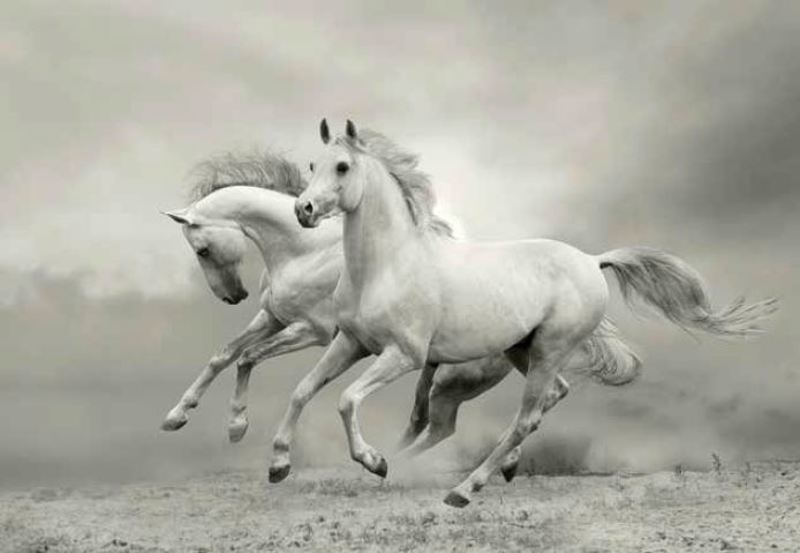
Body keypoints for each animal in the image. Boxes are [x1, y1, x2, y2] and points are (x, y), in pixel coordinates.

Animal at [160, 150, 640, 482]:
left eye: (202, 249)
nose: (233, 296)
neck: (305, 250)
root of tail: (586, 266)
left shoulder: (312, 331)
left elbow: (248, 358)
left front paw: (238, 426)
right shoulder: (274, 319)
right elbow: (225, 356)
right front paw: (179, 416)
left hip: (456, 381)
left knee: (460, 422)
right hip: (507, 362)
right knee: (539, 400)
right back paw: (502, 464)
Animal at [294, 119, 777, 507]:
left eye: (342, 167)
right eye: (312, 166)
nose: (304, 209)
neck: (388, 264)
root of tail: (593, 261)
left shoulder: (404, 355)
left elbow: (346, 398)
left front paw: (373, 461)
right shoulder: (352, 343)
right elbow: (303, 391)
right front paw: (283, 464)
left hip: (547, 349)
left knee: (525, 416)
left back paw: (464, 489)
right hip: (522, 351)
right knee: (549, 397)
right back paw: (480, 468)